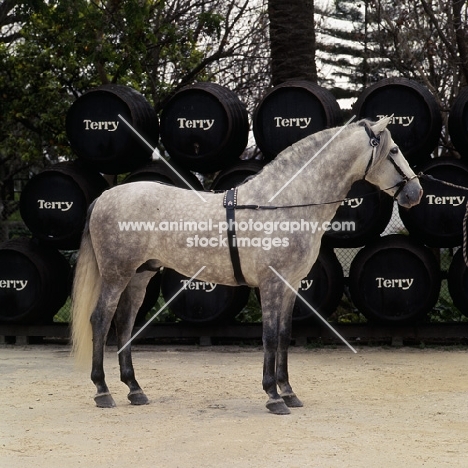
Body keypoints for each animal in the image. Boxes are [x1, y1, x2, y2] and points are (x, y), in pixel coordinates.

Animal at [71, 117, 422, 414]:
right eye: (394, 150)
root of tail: (104, 197)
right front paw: (273, 396)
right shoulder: (270, 285)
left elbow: (284, 335)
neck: (283, 205)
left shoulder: (290, 286)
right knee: (101, 320)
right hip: (116, 275)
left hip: (140, 275)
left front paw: (288, 392)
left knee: (124, 324)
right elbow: (269, 336)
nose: (415, 193)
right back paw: (103, 391)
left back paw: (134, 389)